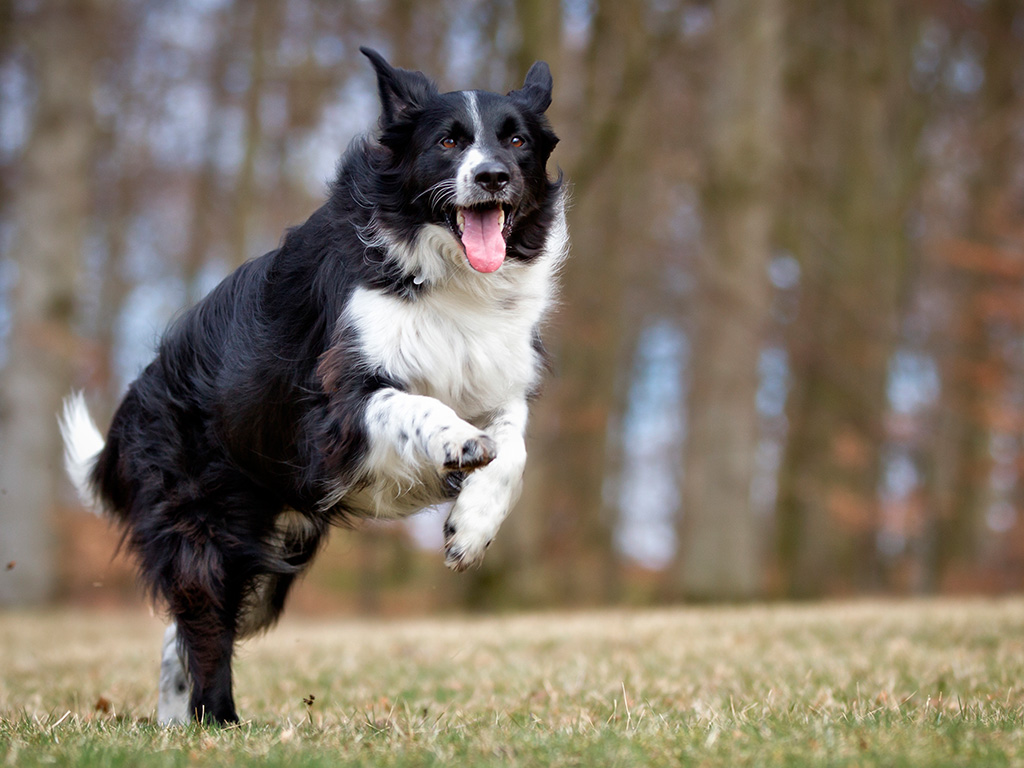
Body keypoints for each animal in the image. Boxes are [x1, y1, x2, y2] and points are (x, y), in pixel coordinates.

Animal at [59, 49, 569, 729]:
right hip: (209, 527)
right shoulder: (336, 407)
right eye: (448, 141)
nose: (490, 176)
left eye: (516, 141)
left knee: (183, 634)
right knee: (203, 624)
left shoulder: (497, 376)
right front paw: (457, 442)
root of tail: (134, 402)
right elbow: (413, 403)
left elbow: (514, 445)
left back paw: (176, 721)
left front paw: (473, 525)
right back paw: (216, 722)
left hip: (272, 550)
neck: (450, 276)